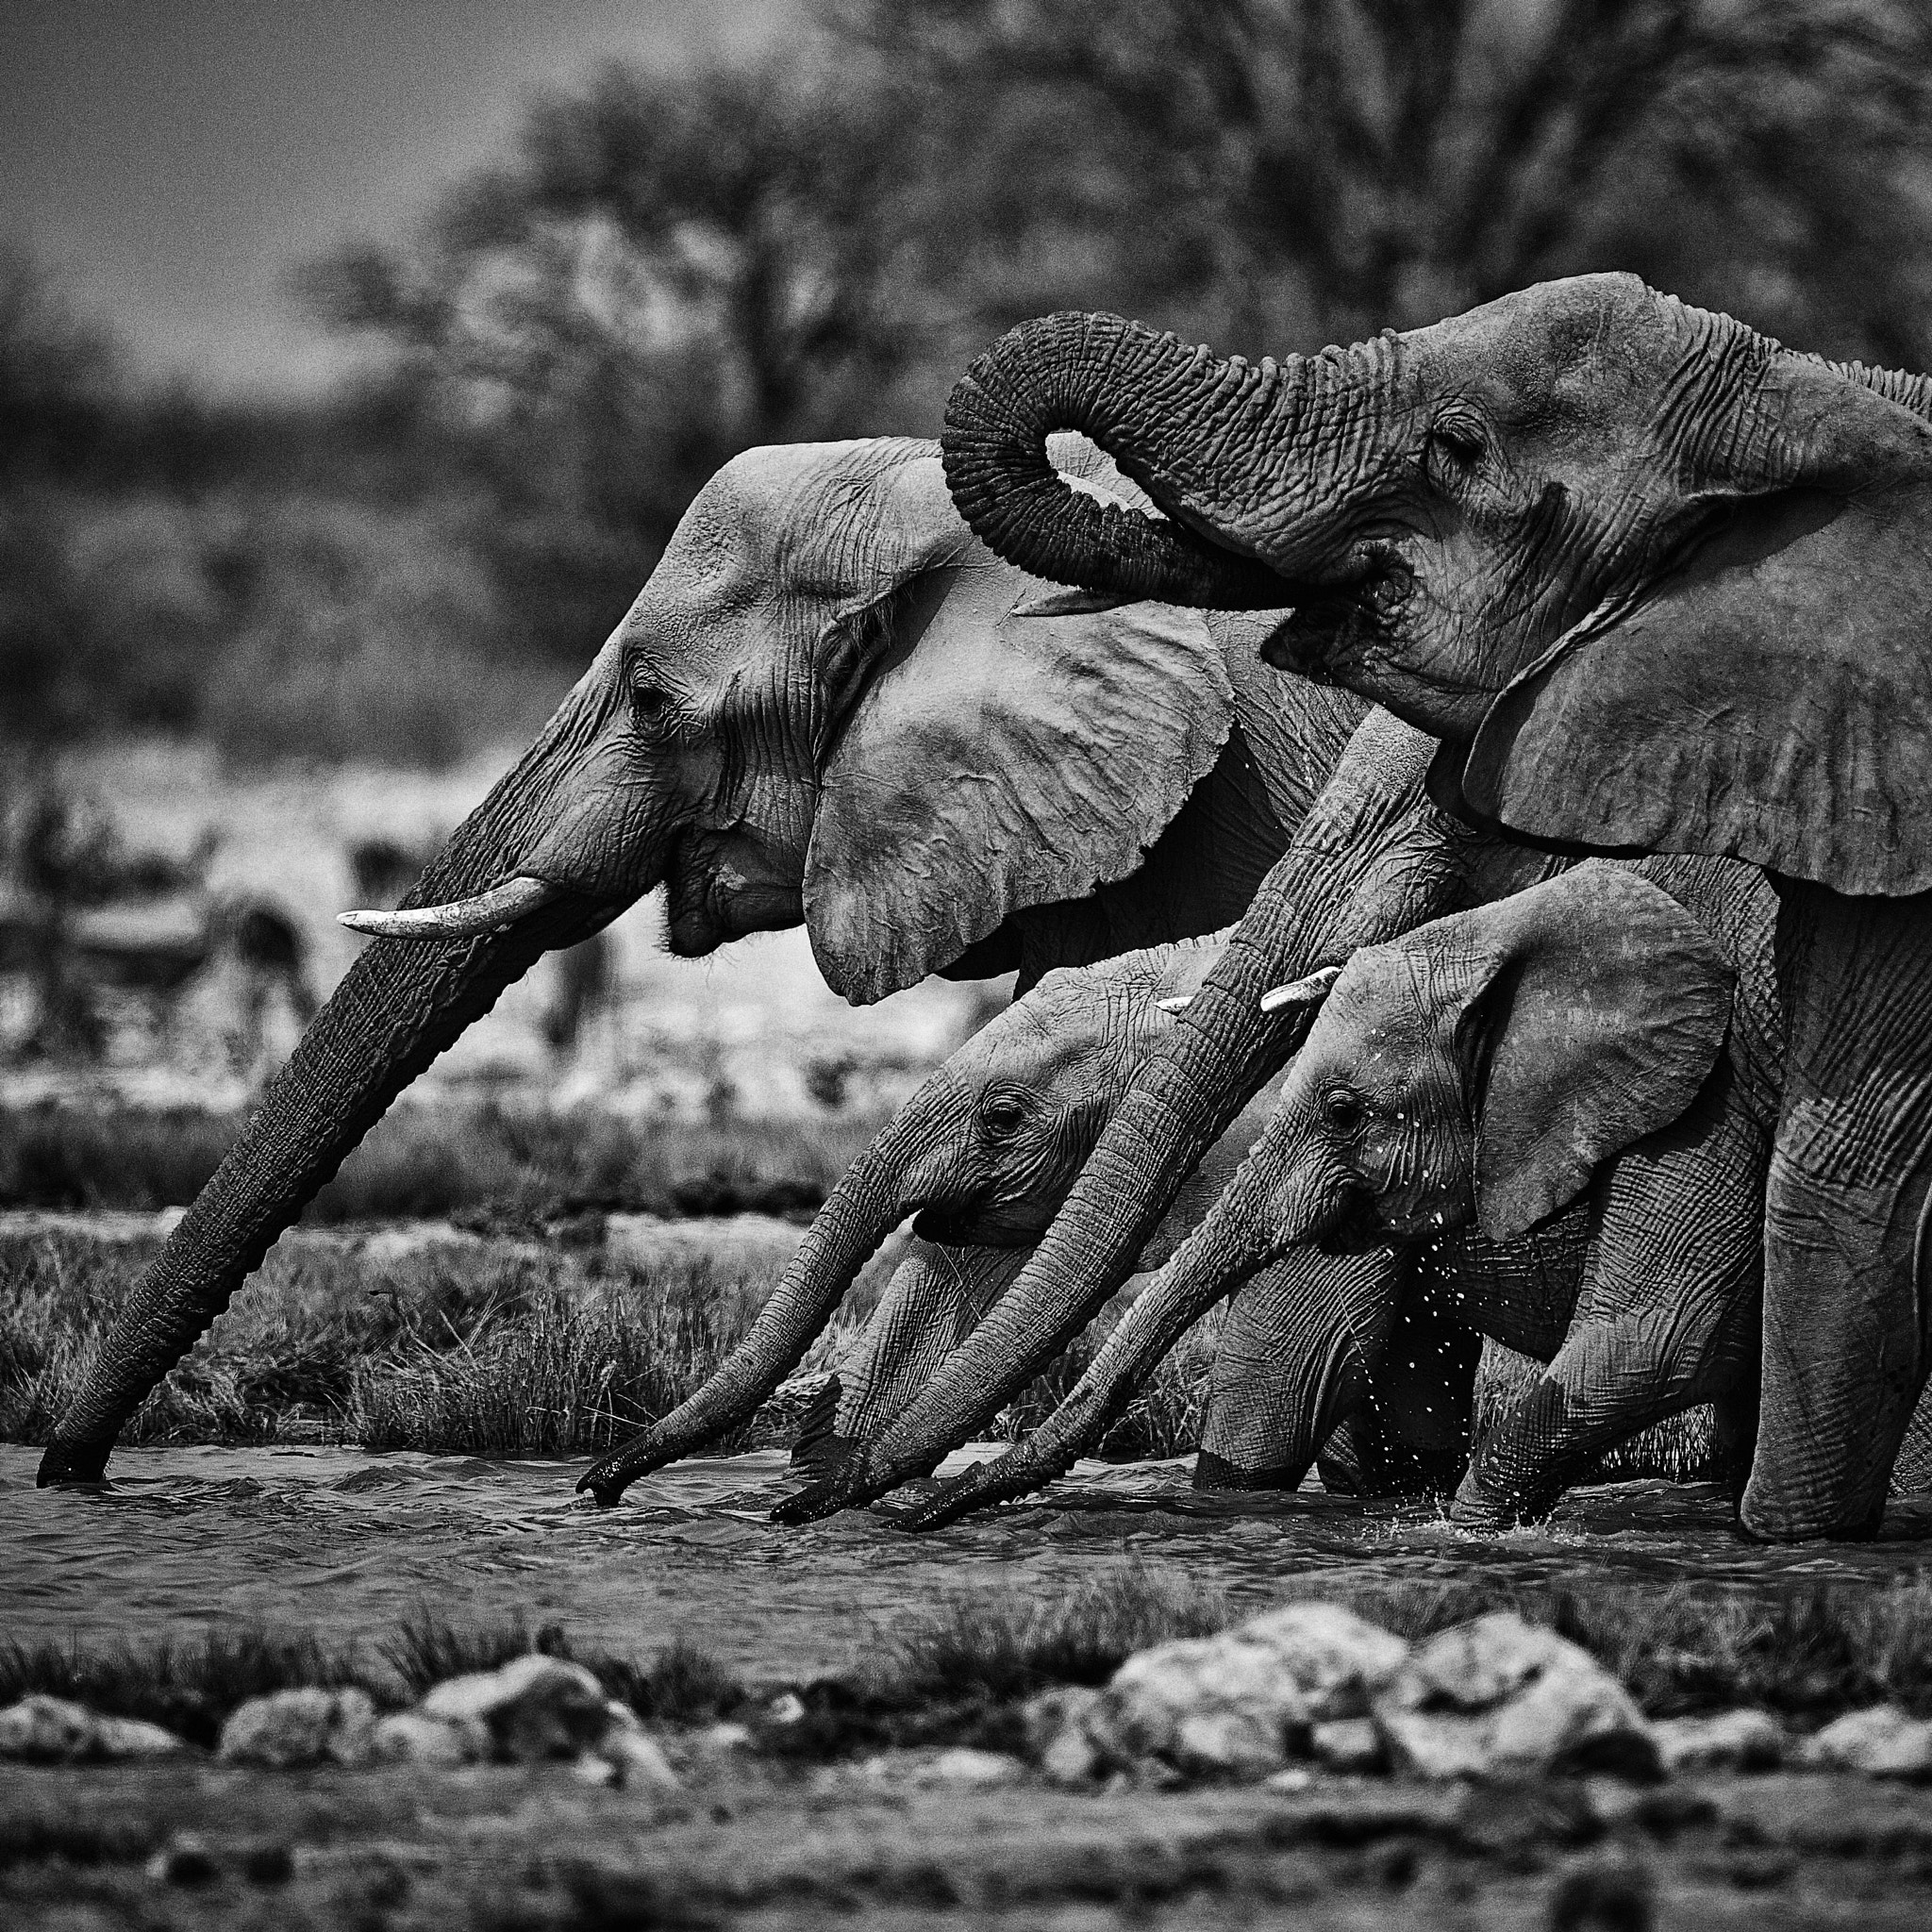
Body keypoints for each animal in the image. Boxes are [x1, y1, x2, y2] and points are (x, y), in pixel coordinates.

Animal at [34, 441, 1359, 1491]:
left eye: (652, 699)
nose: (70, 1470)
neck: (953, 544)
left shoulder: (1187, 807)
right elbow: (1024, 1199)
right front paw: (829, 1477)